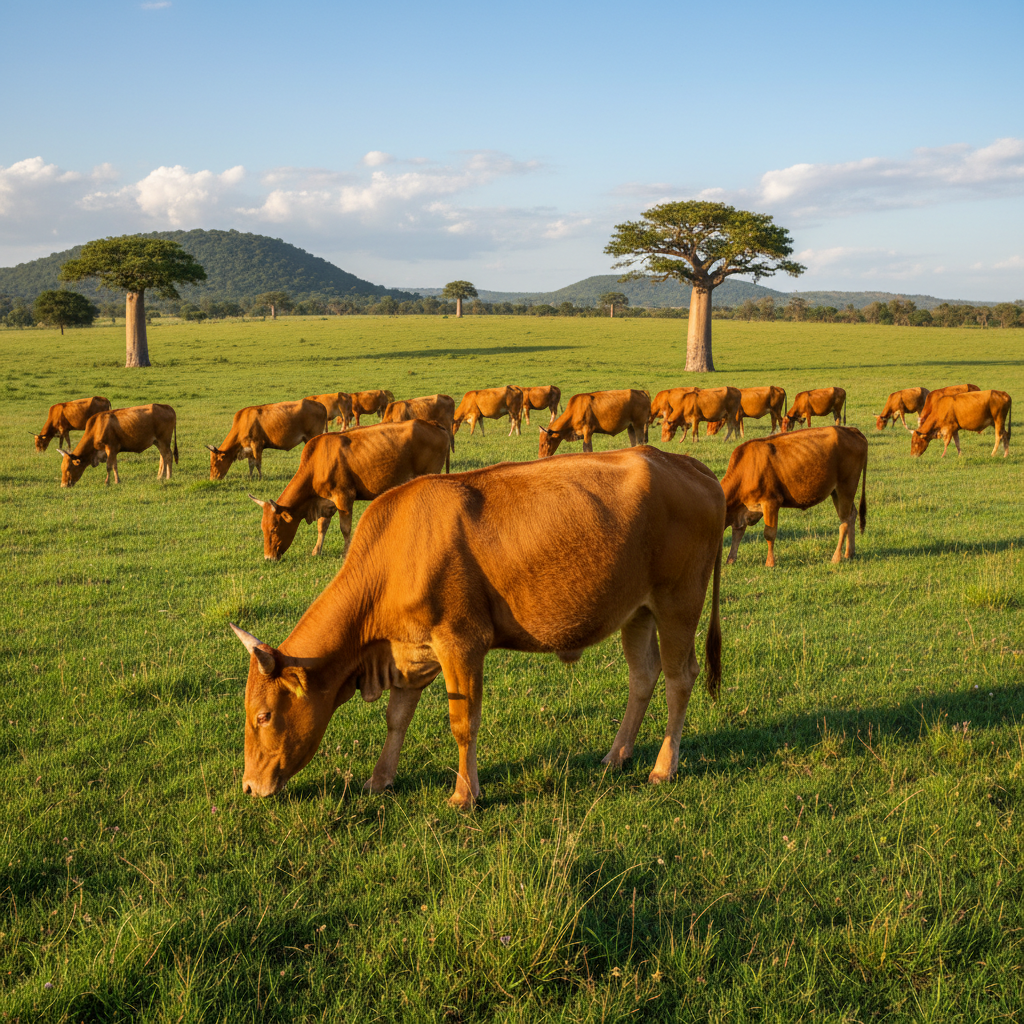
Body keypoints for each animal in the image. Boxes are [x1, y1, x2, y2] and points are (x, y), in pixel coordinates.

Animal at [230, 445, 725, 808]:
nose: (250, 786)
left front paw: (465, 794)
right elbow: (397, 717)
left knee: (680, 678)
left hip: (678, 603)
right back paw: (616, 755)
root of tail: (683, 463)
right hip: (636, 611)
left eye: (264, 715)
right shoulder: (411, 651)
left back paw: (663, 766)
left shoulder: (462, 643)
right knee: (643, 676)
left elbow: (463, 722)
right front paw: (379, 779)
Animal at [249, 419, 452, 560]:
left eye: (274, 529)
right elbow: (322, 527)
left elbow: (345, 528)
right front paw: (317, 550)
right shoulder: (326, 501)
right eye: (262, 529)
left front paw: (345, 553)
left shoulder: (344, 497)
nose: (268, 558)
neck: (317, 463)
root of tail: (433, 424)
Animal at [721, 426, 868, 567]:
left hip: (846, 488)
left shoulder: (771, 502)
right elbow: (737, 533)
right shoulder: (742, 512)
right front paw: (730, 559)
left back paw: (837, 557)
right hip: (837, 492)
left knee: (844, 522)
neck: (746, 471)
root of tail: (851, 430)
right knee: (852, 515)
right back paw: (849, 553)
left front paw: (770, 563)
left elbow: (769, 534)